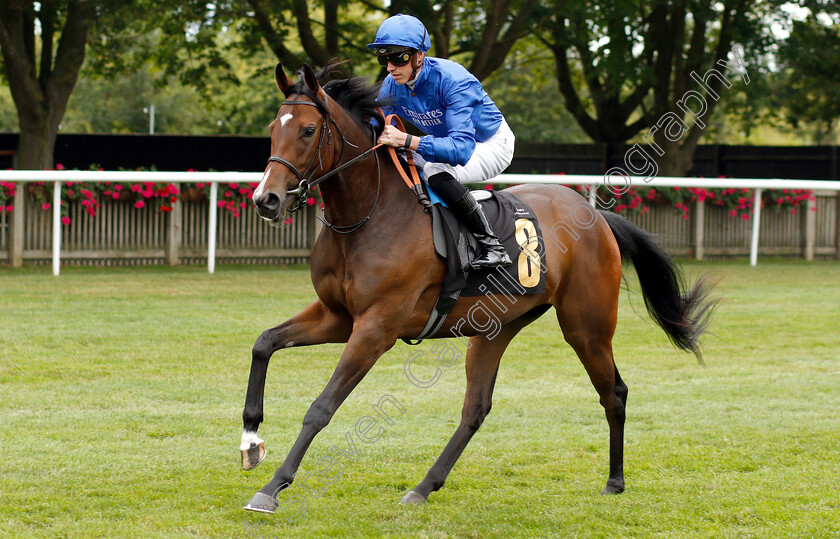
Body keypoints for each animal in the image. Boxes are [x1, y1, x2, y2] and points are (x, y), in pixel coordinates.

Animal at [241, 61, 716, 512]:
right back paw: (424, 487)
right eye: (273, 129)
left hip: (587, 327)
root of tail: (596, 217)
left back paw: (615, 481)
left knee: (613, 392)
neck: (369, 215)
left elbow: (321, 407)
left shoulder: (377, 328)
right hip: (496, 329)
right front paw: (250, 440)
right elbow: (264, 342)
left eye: (307, 130)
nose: (266, 200)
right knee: (476, 409)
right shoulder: (339, 316)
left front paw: (272, 488)